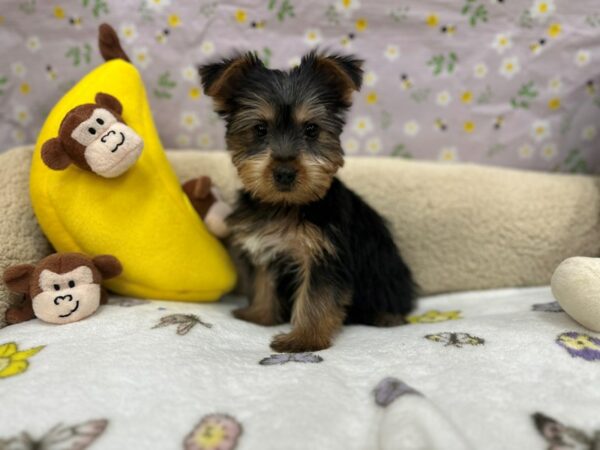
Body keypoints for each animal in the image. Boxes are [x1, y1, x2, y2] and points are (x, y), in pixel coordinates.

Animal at [199, 51, 414, 354]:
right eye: (260, 129)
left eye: (312, 130)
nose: (285, 173)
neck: (286, 204)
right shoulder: (265, 246)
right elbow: (264, 281)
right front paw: (259, 316)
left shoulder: (324, 256)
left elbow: (316, 299)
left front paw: (302, 340)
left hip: (386, 274)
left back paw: (386, 317)